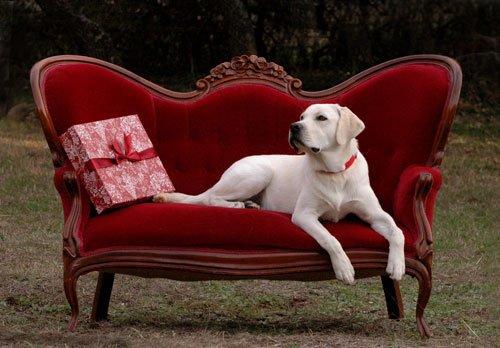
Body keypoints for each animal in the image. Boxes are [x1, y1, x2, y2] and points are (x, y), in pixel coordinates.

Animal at [153, 104, 406, 284]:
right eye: (302, 117)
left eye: (321, 118)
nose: (294, 126)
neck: (335, 173)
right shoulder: (304, 215)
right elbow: (330, 238)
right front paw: (343, 267)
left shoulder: (375, 213)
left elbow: (398, 232)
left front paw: (397, 265)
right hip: (257, 173)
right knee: (209, 198)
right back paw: (236, 205)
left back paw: (251, 205)